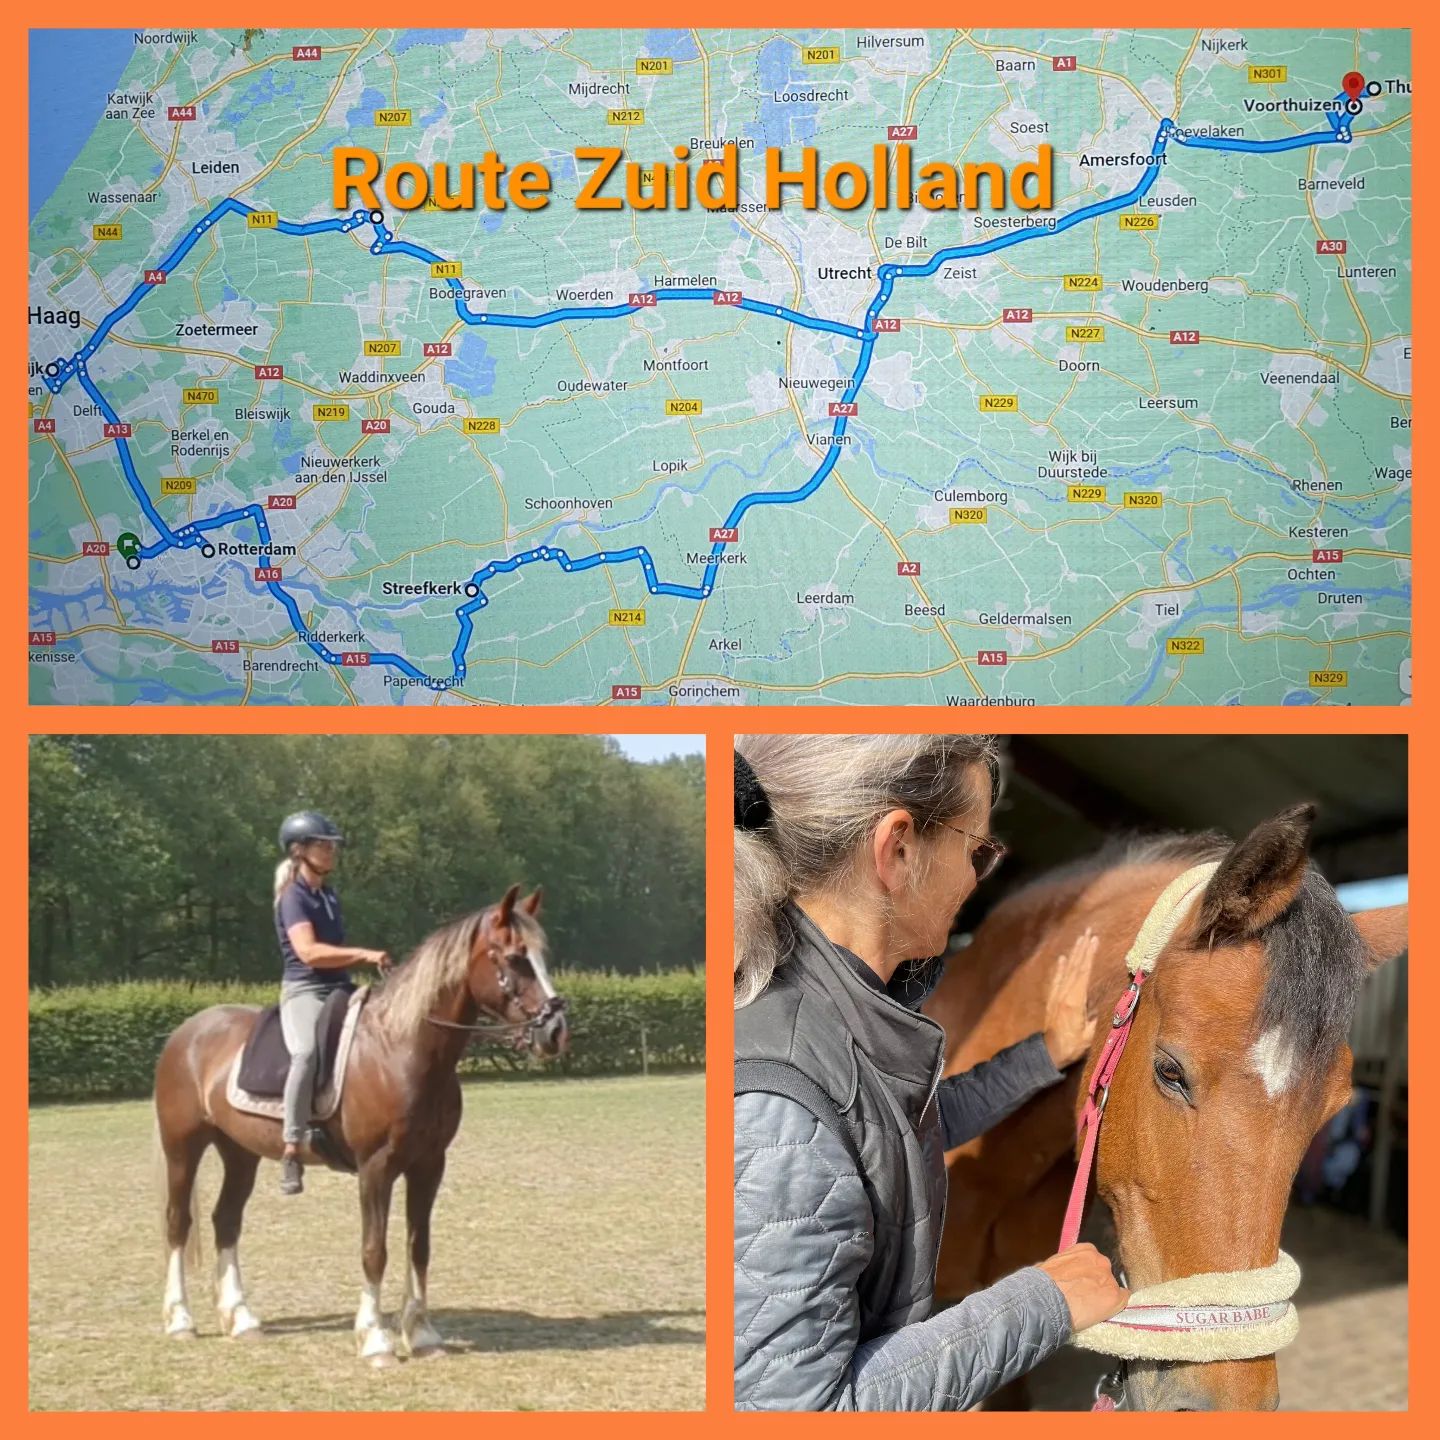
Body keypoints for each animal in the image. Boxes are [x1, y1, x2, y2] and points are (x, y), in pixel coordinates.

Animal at [153, 884, 569, 1365]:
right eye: (515, 957)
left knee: (226, 1220)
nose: (556, 1030)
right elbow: (375, 1249)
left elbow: (418, 1247)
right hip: (182, 1147)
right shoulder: (376, 1167)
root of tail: (187, 1032)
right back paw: (180, 1320)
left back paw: (241, 1319)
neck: (401, 1049)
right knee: (178, 1223)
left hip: (240, 1153)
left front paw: (421, 1334)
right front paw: (375, 1339)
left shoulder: (429, 1165)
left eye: (542, 954)